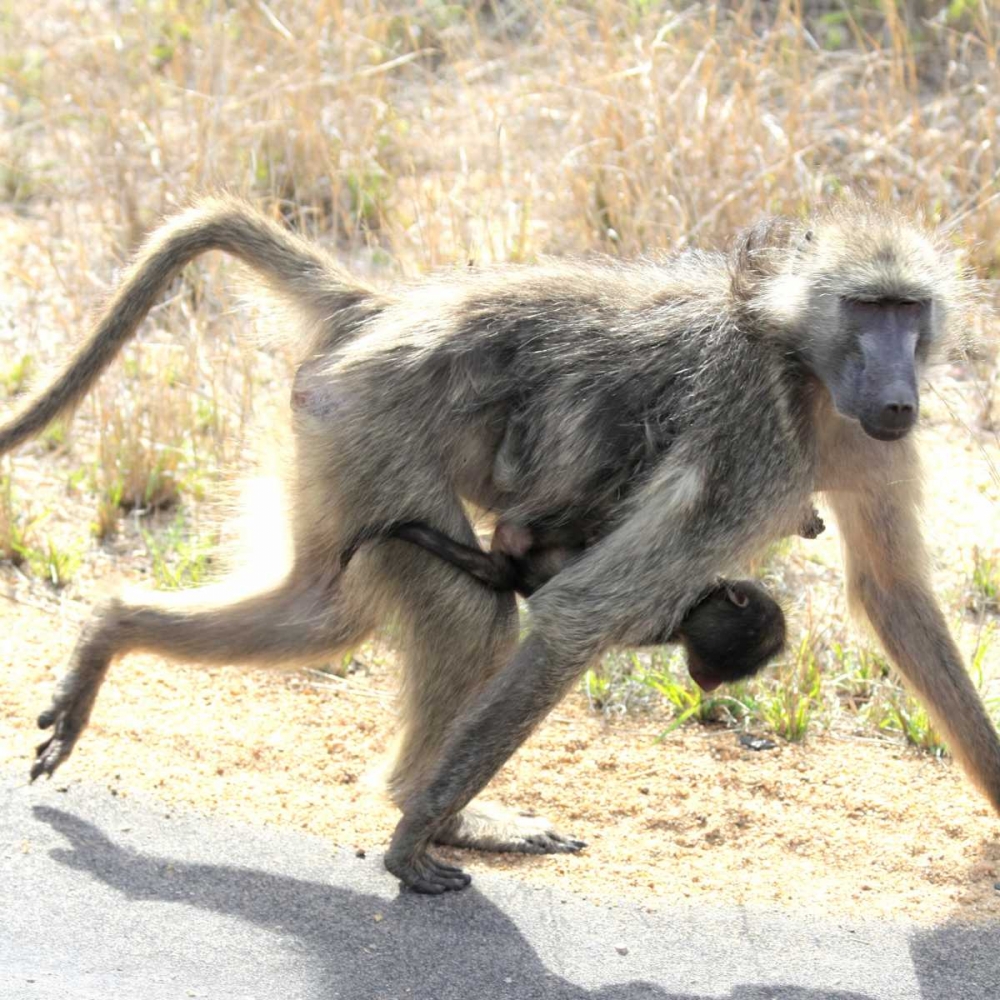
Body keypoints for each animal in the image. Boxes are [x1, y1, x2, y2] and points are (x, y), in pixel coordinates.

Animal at [4, 197, 997, 897]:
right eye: (867, 308)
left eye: (910, 311)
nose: (898, 394)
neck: (803, 361)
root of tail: (381, 309)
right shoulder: (755, 443)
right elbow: (576, 614)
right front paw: (409, 840)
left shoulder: (868, 442)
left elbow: (896, 598)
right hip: (379, 426)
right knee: (470, 614)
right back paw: (431, 811)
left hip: (336, 442)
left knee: (322, 611)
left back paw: (109, 631)